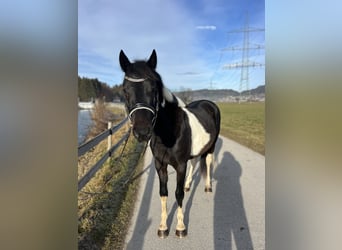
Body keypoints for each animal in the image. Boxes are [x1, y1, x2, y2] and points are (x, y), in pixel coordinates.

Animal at [119, 49, 220, 238]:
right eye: (125, 90)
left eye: (153, 88)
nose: (142, 132)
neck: (169, 131)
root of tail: (209, 103)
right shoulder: (160, 165)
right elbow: (163, 193)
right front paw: (163, 227)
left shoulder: (180, 165)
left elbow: (178, 194)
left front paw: (180, 228)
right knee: (195, 162)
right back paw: (188, 185)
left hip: (212, 145)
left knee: (208, 161)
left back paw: (208, 187)